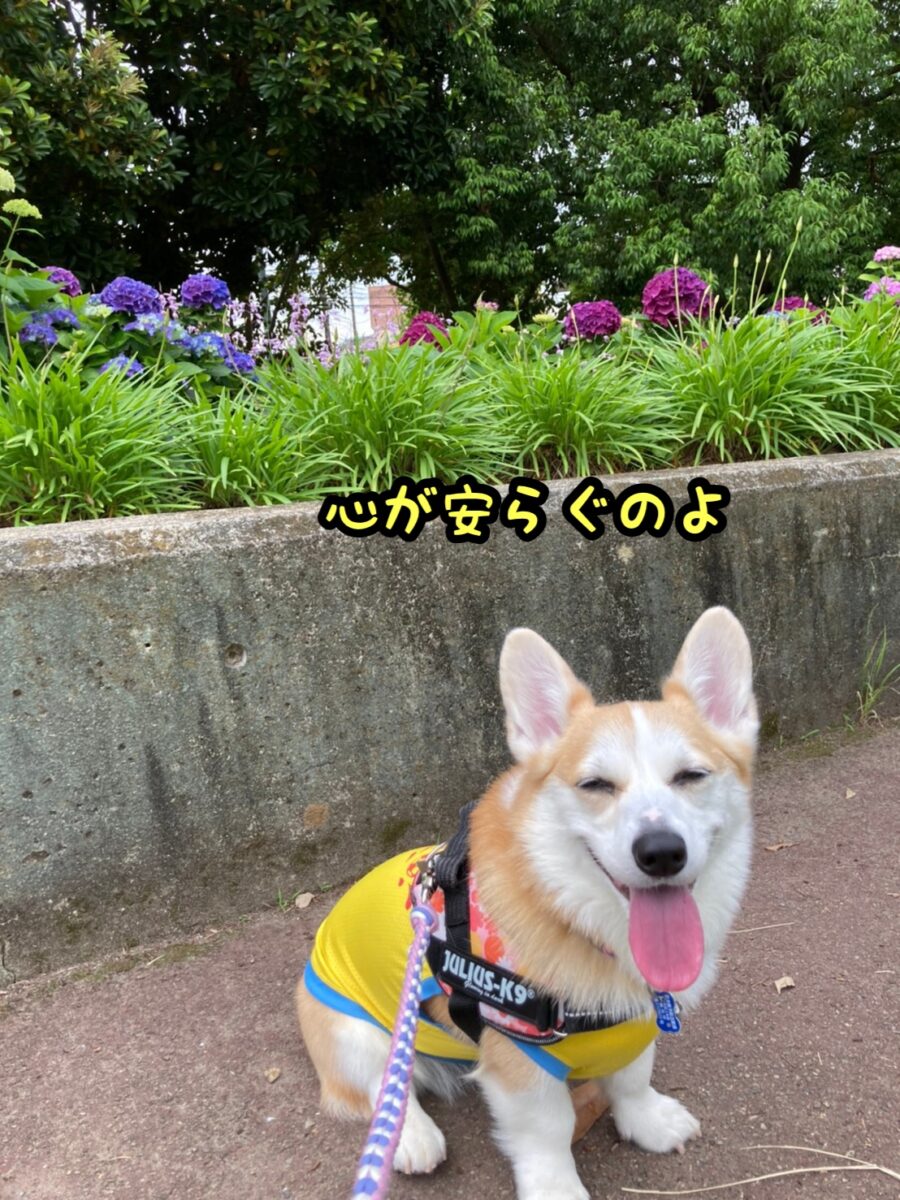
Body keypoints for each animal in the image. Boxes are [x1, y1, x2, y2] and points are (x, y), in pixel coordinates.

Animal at [297, 607, 757, 1199]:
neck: (584, 921)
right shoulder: (519, 1062)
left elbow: (633, 1077)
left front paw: (649, 1121)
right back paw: (411, 1139)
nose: (661, 852)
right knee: (381, 1083)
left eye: (691, 776)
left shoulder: (635, 1024)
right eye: (595, 784)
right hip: (351, 1027)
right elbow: (548, 1131)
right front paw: (557, 1187)